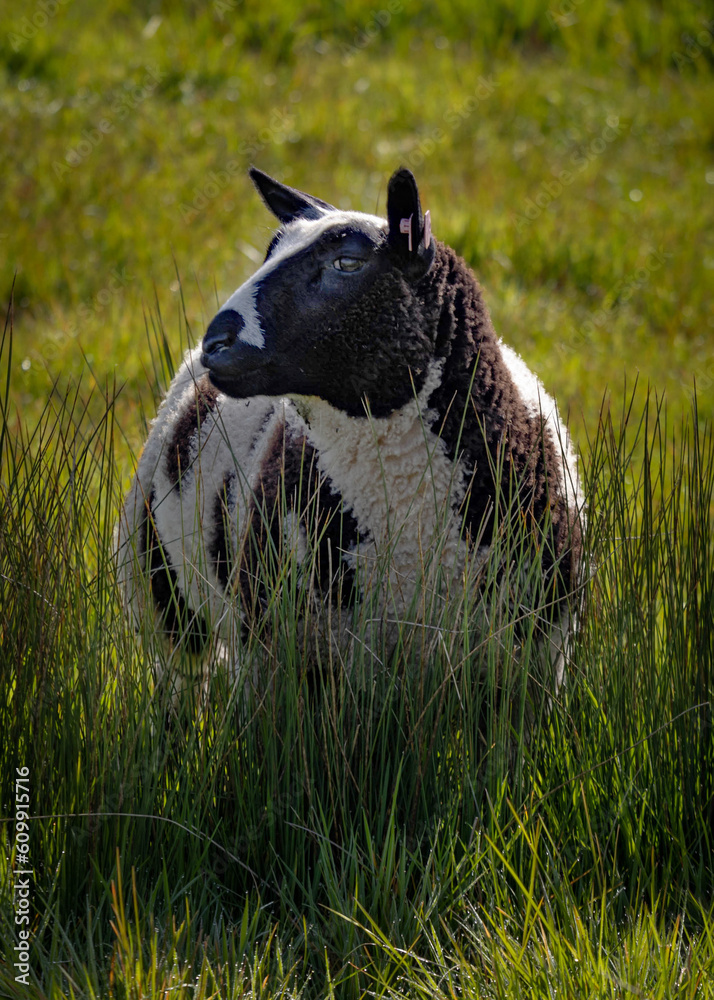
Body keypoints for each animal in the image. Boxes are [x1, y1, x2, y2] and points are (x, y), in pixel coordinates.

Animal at [117, 166, 584, 696]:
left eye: (348, 262)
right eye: (268, 250)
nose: (216, 342)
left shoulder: (533, 662)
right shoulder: (281, 657)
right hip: (161, 596)